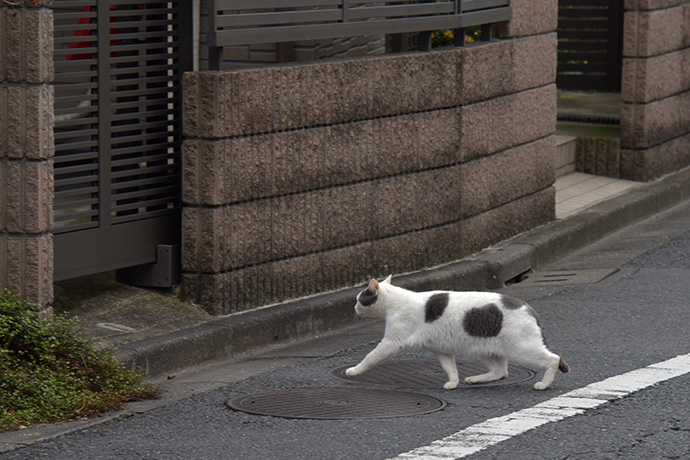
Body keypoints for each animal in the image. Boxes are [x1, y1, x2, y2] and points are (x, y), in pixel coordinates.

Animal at [346, 274, 568, 390]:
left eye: (359, 299)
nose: (354, 308)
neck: (395, 302)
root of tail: (529, 308)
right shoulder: (441, 350)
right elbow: (450, 368)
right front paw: (453, 383)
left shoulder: (391, 342)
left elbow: (370, 357)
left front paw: (354, 370)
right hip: (487, 350)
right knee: (501, 372)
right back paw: (474, 379)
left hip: (522, 349)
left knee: (554, 359)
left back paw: (543, 384)